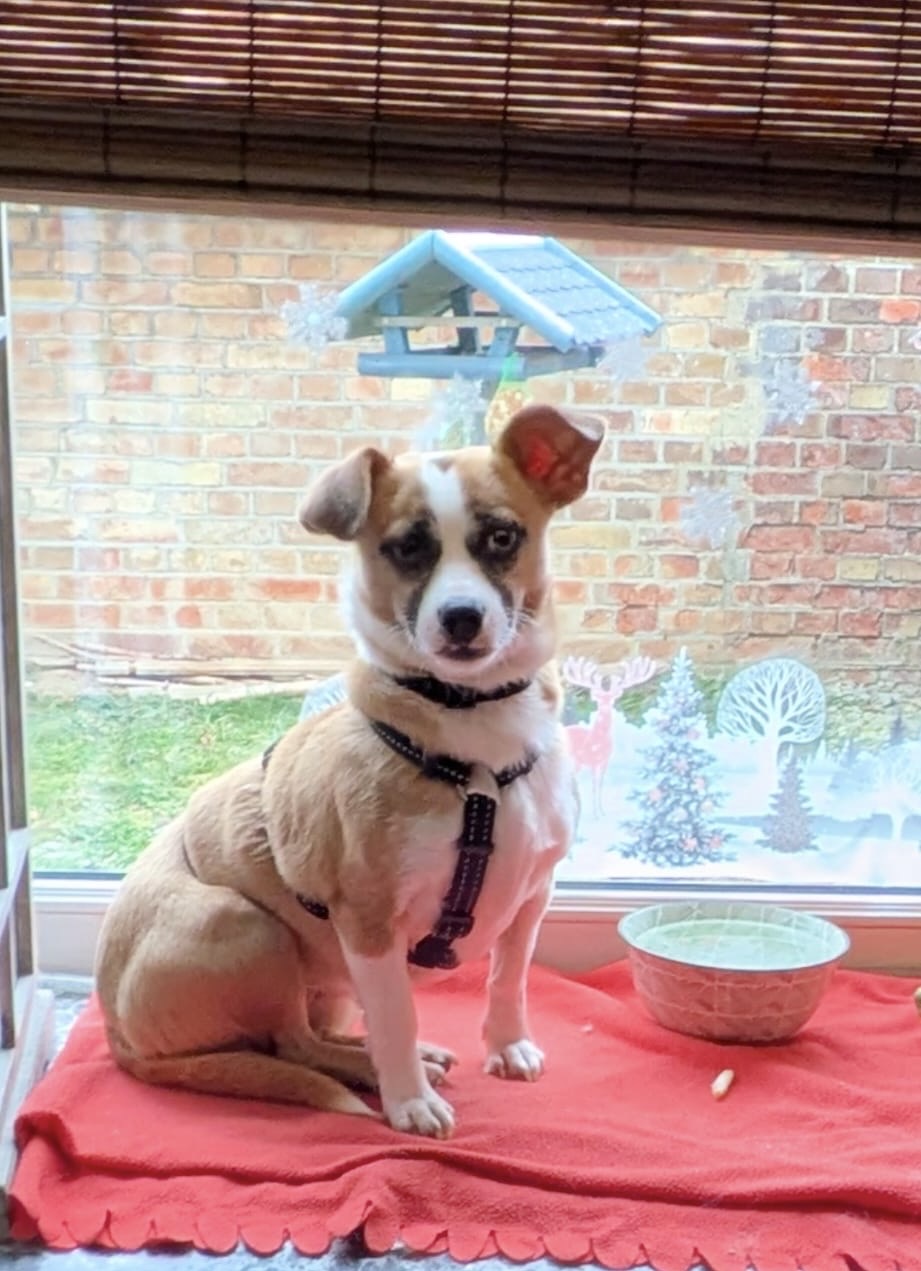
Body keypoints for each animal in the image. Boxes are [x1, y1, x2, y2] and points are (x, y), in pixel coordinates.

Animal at [95, 403, 604, 1138]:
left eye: (503, 536)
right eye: (406, 548)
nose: (460, 617)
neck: (473, 732)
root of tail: (119, 1038)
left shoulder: (532, 897)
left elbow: (508, 981)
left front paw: (506, 1045)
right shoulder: (368, 926)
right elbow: (395, 1016)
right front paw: (408, 1099)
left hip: (319, 982)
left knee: (314, 1034)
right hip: (248, 927)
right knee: (293, 1044)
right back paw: (375, 1072)